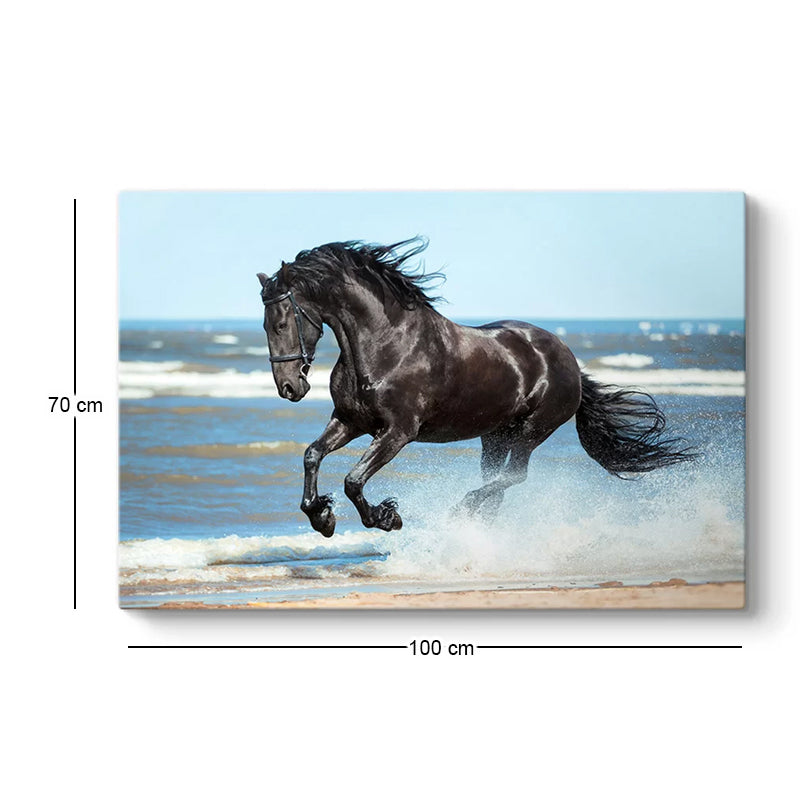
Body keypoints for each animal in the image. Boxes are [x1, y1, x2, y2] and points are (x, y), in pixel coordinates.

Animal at [257, 237, 695, 538]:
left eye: (282, 321)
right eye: (264, 325)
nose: (289, 387)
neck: (386, 343)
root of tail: (569, 359)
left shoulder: (398, 432)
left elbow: (354, 480)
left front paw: (386, 517)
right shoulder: (350, 421)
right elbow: (312, 455)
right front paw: (322, 517)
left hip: (532, 430)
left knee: (513, 478)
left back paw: (461, 512)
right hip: (495, 435)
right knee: (497, 484)